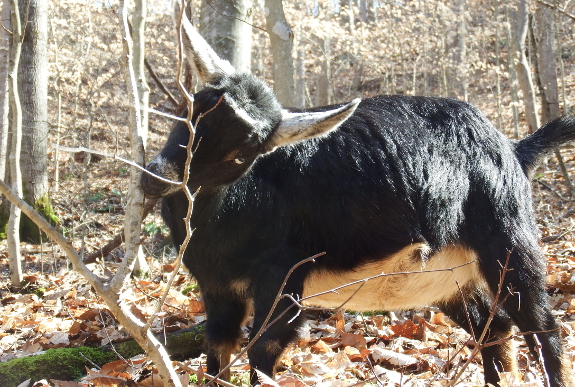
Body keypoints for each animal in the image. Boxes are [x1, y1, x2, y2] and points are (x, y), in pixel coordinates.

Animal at [141, 6, 575, 387]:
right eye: (194, 107)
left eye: (244, 151)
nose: (156, 177)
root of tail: (513, 149)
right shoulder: (216, 287)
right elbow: (217, 349)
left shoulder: (283, 275)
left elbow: (263, 348)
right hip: (447, 277)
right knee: (495, 326)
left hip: (509, 242)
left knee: (542, 327)